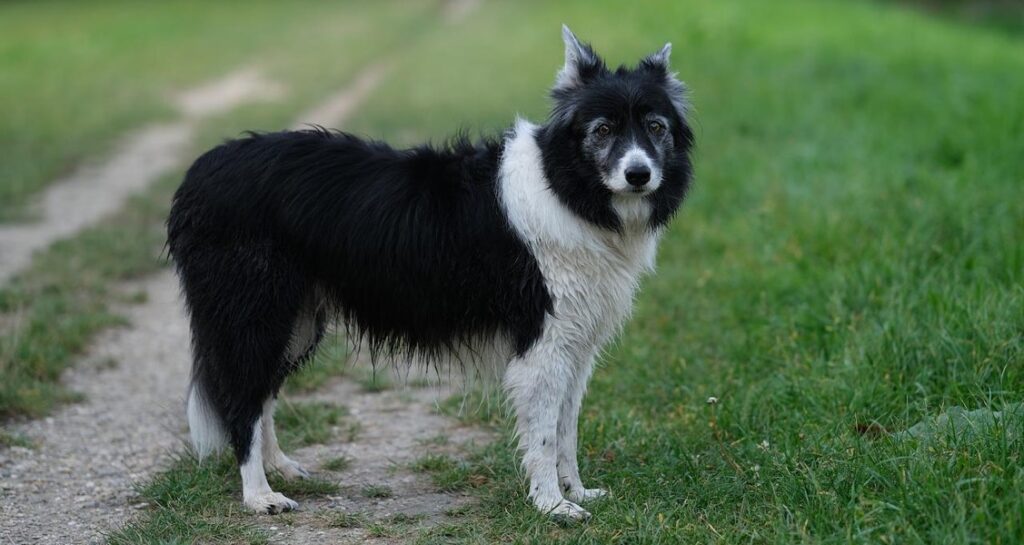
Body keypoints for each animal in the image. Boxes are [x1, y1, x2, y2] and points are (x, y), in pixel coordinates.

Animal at [167, 25, 692, 520]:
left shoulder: (576, 344)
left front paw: (577, 491)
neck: (565, 185)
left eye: (655, 127)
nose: (639, 175)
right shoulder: (542, 342)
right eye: (602, 130)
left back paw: (279, 468)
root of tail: (201, 171)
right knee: (242, 401)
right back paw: (259, 495)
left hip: (295, 321)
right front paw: (552, 506)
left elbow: (567, 429)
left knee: (262, 395)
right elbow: (544, 434)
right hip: (255, 313)